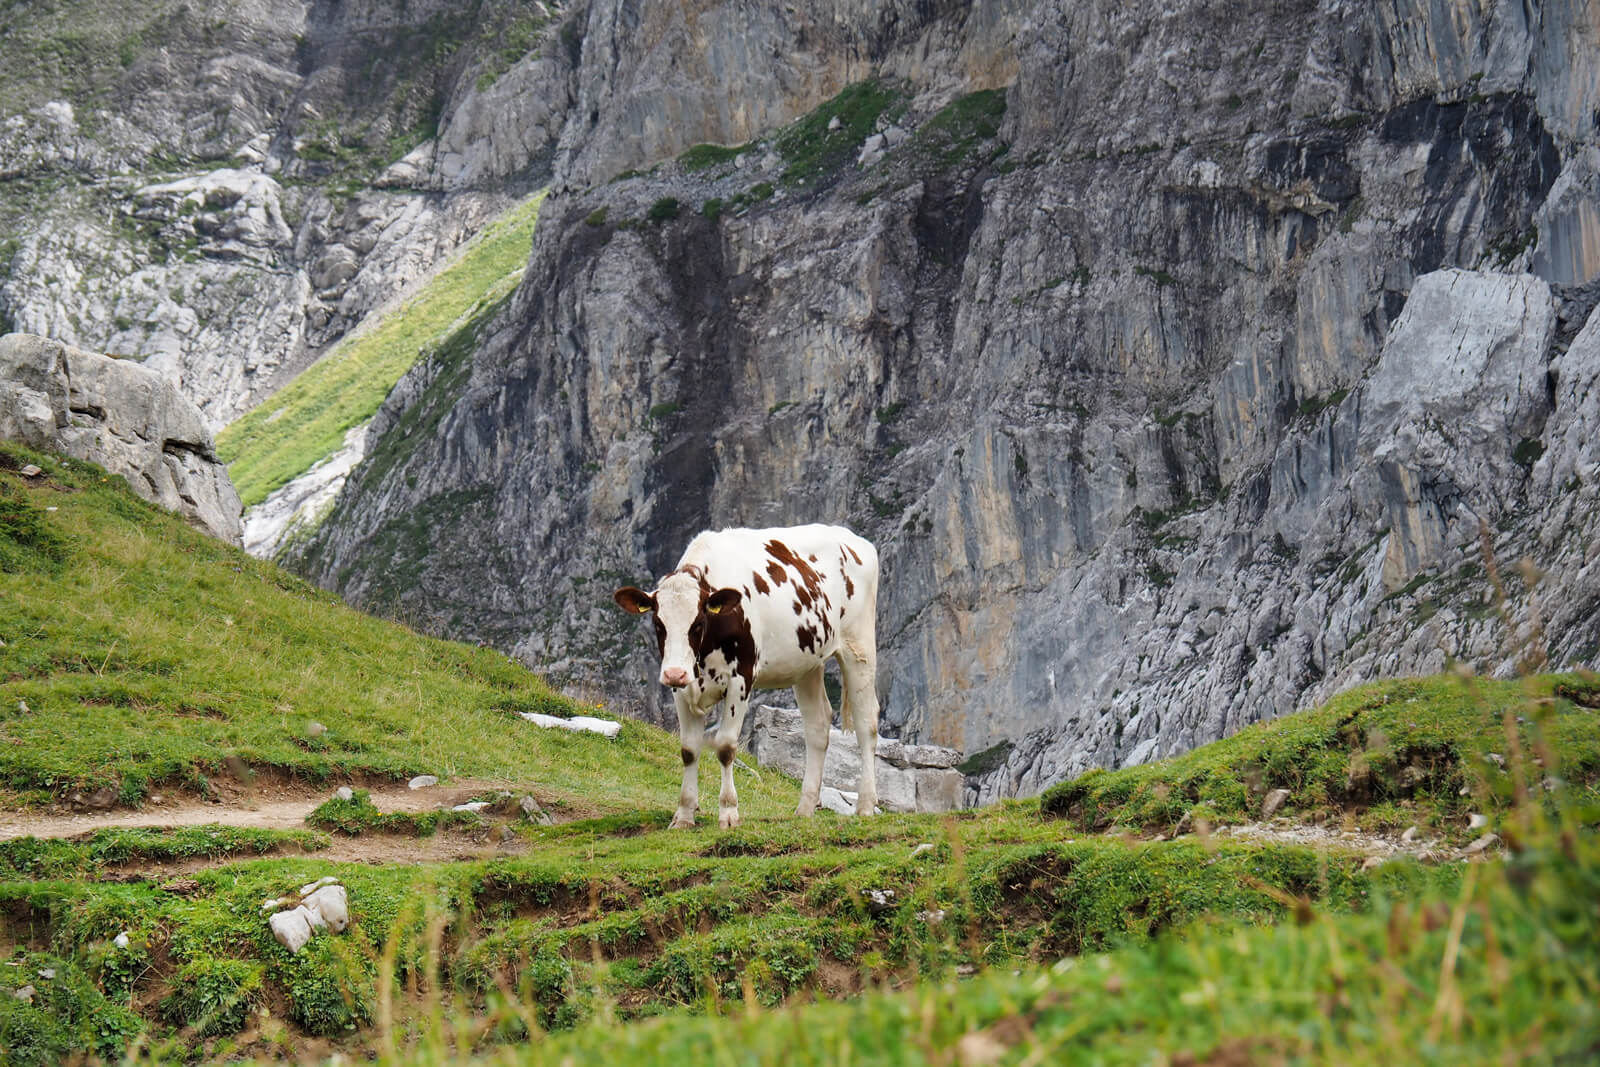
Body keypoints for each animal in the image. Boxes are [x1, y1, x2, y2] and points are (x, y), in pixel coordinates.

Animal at [614, 521, 889, 831]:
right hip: (807, 662)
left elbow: (725, 746)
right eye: (658, 624)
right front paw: (684, 814)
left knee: (867, 723)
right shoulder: (682, 689)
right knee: (818, 725)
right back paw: (805, 808)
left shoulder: (741, 678)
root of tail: (853, 539)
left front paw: (728, 812)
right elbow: (688, 749)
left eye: (697, 623)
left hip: (859, 647)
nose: (674, 672)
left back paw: (865, 805)